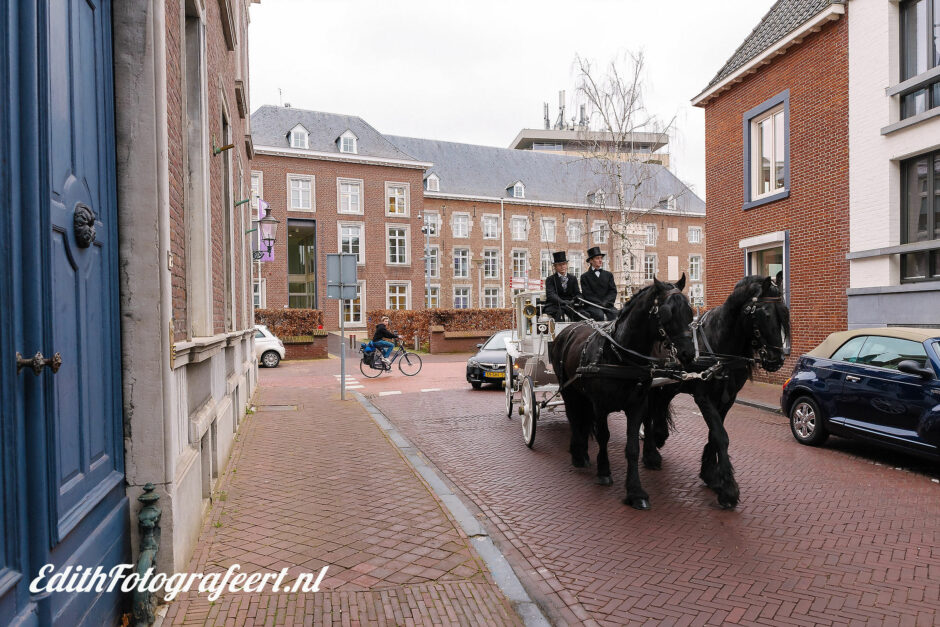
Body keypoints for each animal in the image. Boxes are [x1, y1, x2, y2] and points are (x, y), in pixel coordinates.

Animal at [548, 278, 692, 510]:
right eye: (666, 313)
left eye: (690, 310)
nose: (689, 353)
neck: (621, 356)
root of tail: (569, 328)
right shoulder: (600, 406)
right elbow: (603, 436)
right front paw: (604, 471)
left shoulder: (636, 406)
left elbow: (632, 447)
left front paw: (635, 492)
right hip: (569, 390)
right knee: (573, 418)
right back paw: (578, 454)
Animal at [644, 274, 788, 510]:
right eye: (763, 314)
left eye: (783, 313)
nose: (777, 360)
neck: (721, 347)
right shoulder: (704, 397)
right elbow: (721, 435)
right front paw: (728, 489)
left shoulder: (728, 399)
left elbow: (715, 434)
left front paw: (711, 475)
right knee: (647, 414)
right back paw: (650, 452)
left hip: (670, 384)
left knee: (660, 405)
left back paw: (659, 436)